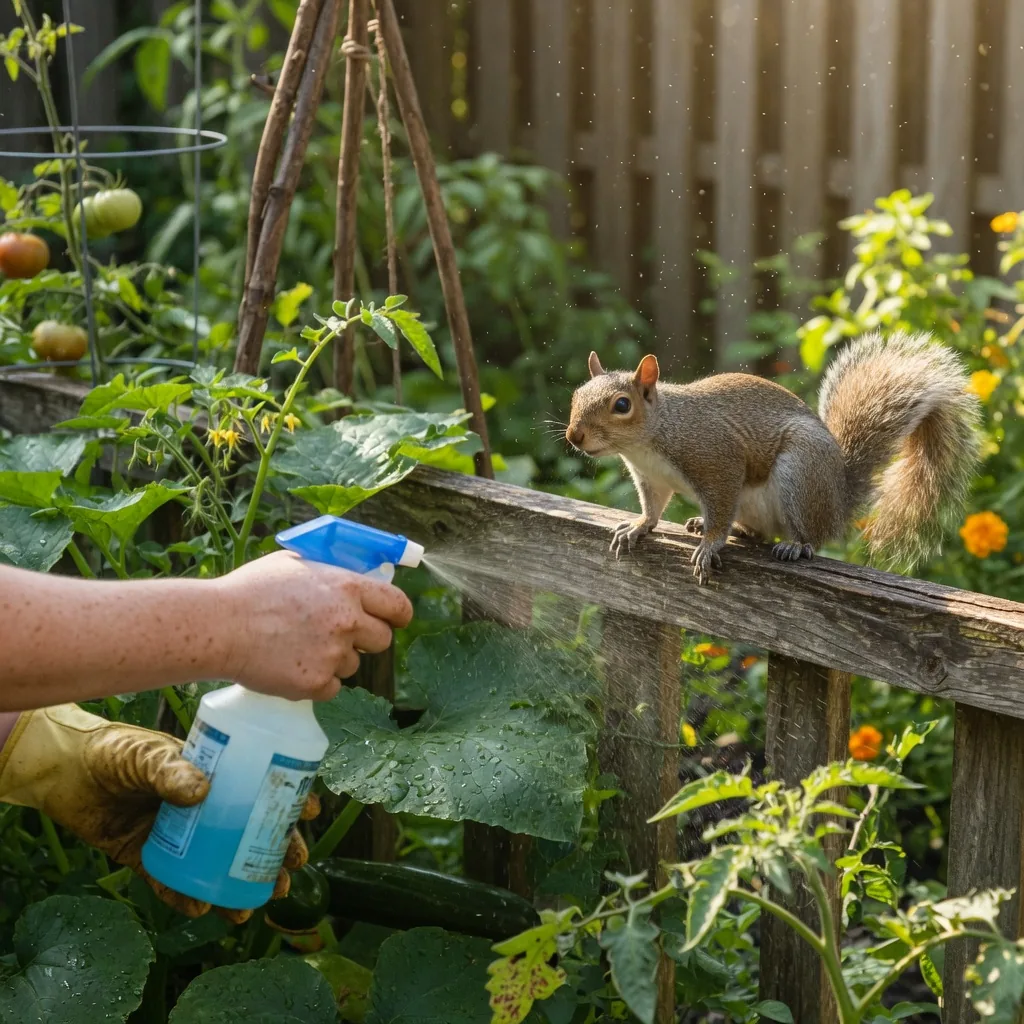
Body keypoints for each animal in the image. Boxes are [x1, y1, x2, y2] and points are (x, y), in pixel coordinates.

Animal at [565, 331, 981, 585]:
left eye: (622, 405)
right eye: (577, 394)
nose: (574, 435)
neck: (652, 438)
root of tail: (838, 498)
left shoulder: (717, 461)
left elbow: (721, 503)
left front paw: (709, 545)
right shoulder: (651, 479)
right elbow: (652, 509)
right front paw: (637, 527)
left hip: (801, 471)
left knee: (810, 535)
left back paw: (793, 544)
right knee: (759, 531)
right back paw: (721, 526)